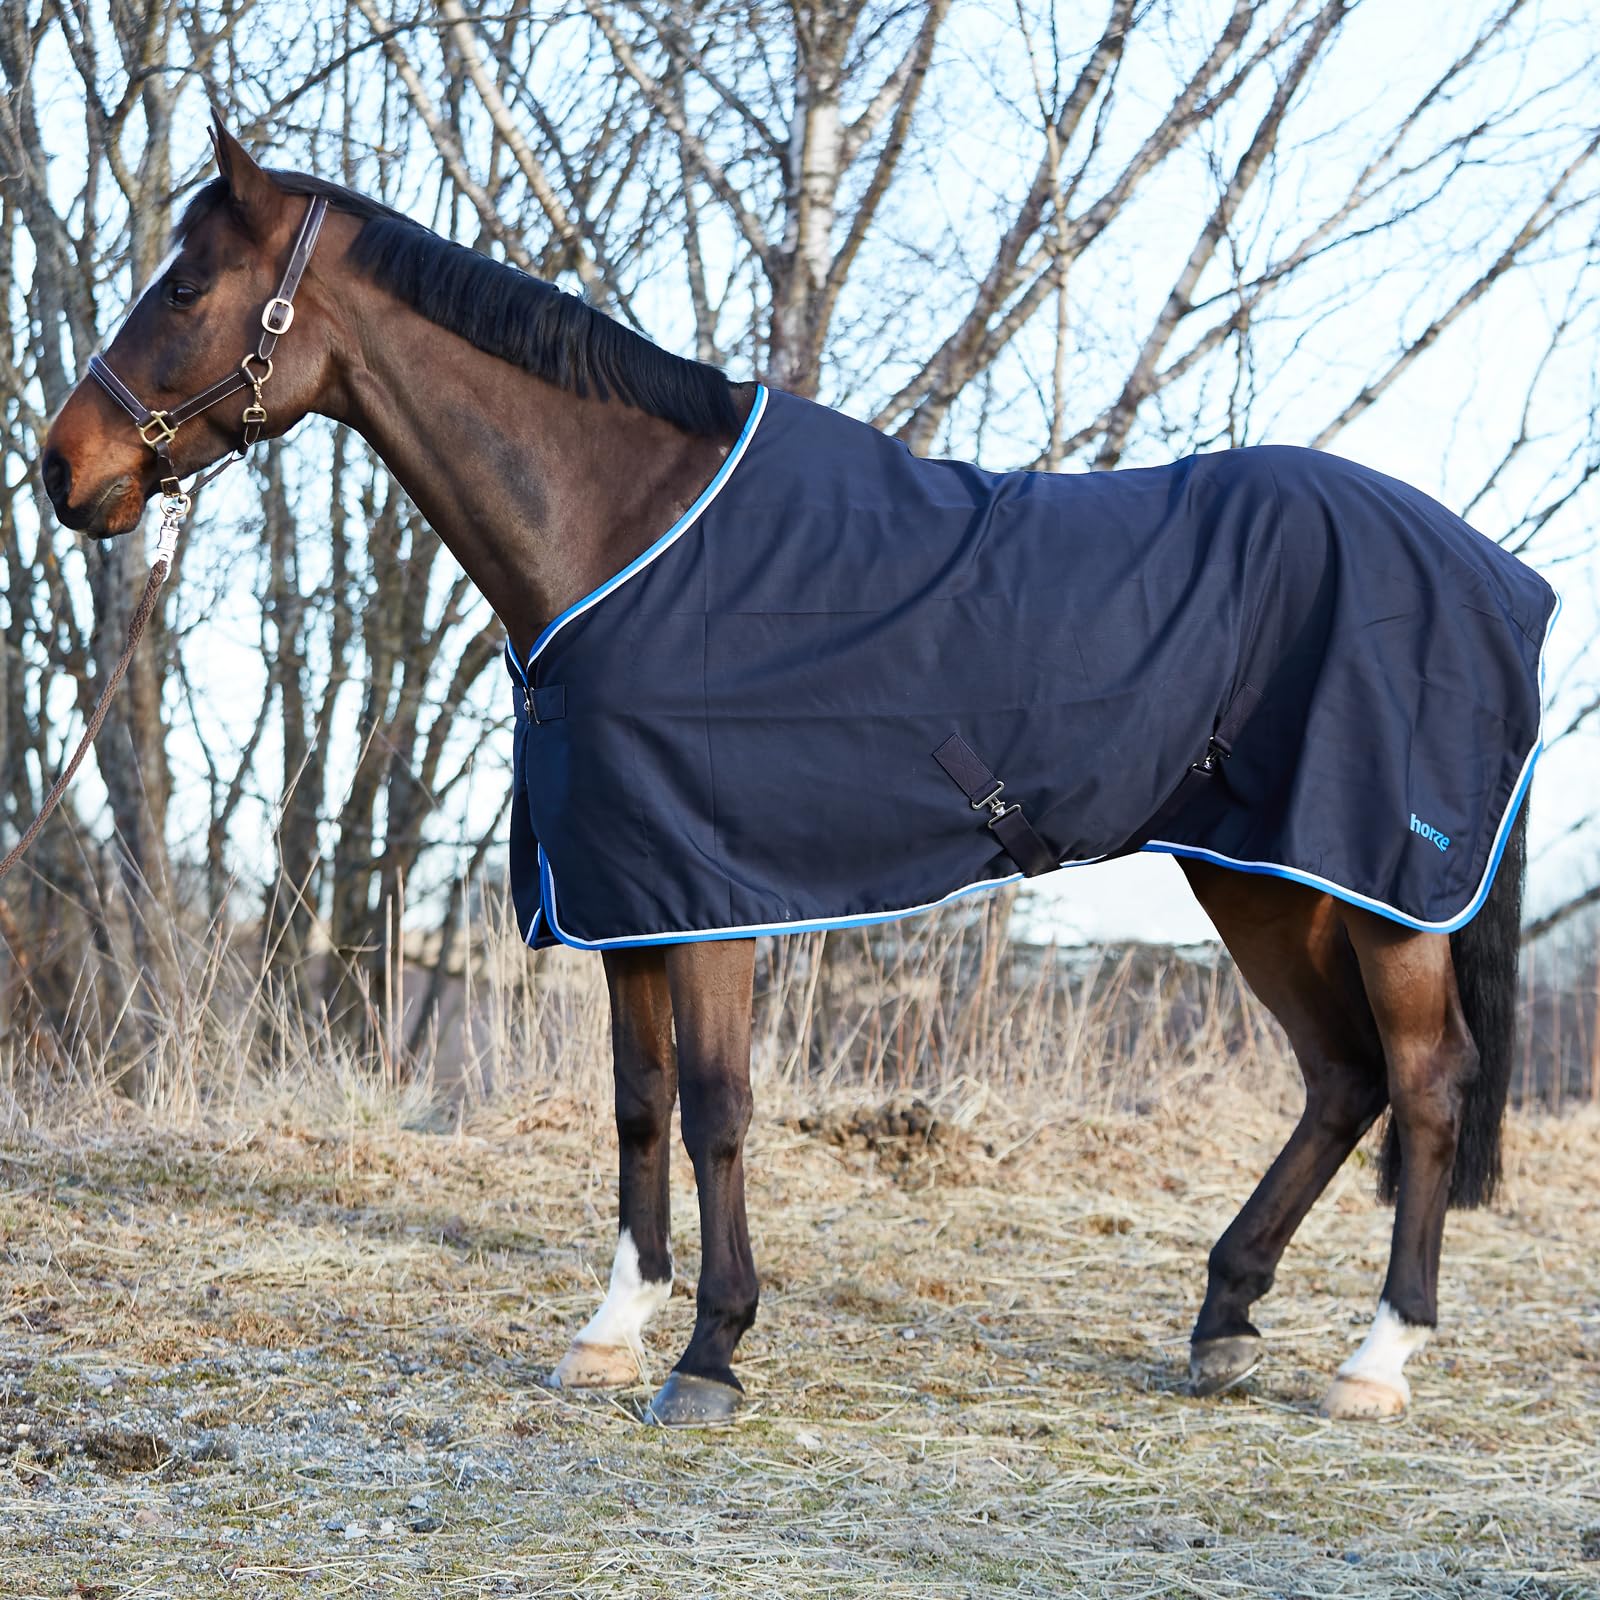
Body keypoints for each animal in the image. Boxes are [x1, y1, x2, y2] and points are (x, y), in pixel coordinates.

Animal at [41, 118, 1552, 1427]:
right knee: (1341, 1076)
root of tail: (1494, 570)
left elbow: (717, 1109)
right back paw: (1226, 1321)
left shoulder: (704, 896)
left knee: (1425, 1079)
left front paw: (711, 1350)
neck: (625, 530)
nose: (63, 467)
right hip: (1263, 873)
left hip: (1375, 885)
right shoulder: (621, 895)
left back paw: (1375, 1359)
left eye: (185, 285)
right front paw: (610, 1331)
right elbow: (640, 1106)